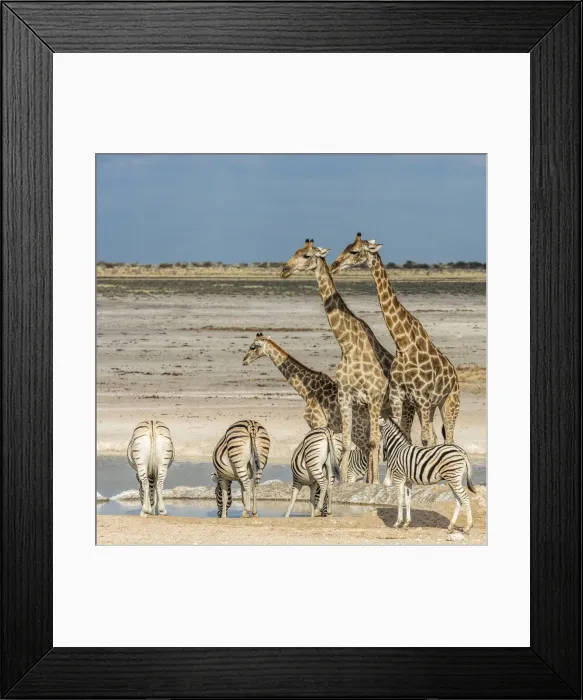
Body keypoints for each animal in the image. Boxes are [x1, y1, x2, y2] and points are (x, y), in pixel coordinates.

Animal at [281, 239, 393, 485]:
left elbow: (373, 442)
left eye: (306, 256)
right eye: (295, 251)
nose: (284, 269)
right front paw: (343, 481)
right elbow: (347, 444)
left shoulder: (373, 396)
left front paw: (374, 484)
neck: (348, 346)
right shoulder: (345, 395)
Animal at [330, 233, 460, 447]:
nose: (334, 265)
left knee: (448, 438)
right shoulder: (399, 396)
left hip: (449, 402)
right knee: (435, 436)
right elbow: (403, 434)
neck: (403, 344)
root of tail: (455, 375)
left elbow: (423, 439)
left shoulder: (422, 398)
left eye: (355, 251)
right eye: (345, 247)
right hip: (430, 406)